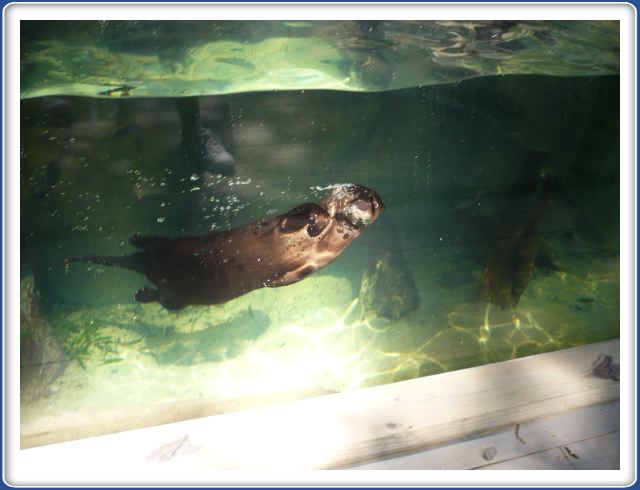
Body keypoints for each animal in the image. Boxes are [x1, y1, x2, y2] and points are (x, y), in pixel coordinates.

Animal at [69, 184, 384, 310]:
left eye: (376, 202)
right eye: (356, 191)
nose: (368, 199)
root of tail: (147, 266)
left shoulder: (317, 263)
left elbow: (292, 276)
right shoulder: (282, 221)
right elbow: (305, 210)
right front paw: (317, 220)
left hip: (178, 298)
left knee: (164, 299)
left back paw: (142, 293)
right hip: (176, 245)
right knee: (158, 242)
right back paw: (137, 238)